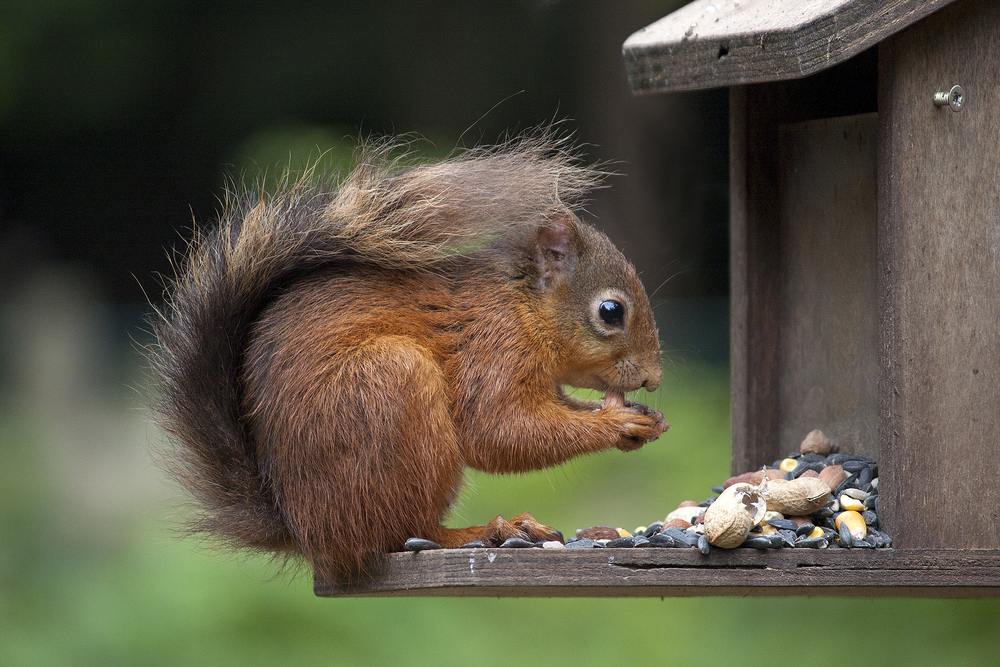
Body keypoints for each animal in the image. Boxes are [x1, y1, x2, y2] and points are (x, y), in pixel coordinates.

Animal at [152, 138, 668, 588]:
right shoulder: (492, 349)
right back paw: (487, 531)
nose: (654, 379)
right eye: (611, 312)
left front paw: (645, 418)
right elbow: (499, 431)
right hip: (391, 387)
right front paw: (618, 423)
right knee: (401, 534)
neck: (519, 305)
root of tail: (304, 529)